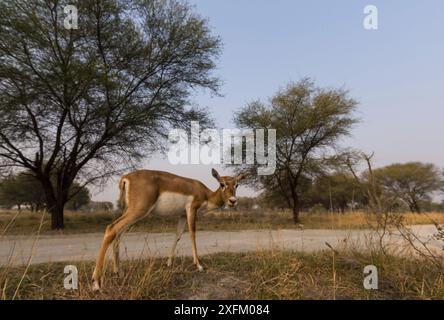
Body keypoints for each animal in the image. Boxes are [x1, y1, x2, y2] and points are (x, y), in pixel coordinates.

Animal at [92, 169, 248, 288]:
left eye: (237, 185)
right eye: (222, 184)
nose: (233, 201)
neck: (205, 194)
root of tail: (126, 178)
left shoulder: (182, 215)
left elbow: (177, 235)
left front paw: (169, 262)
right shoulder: (191, 210)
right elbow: (192, 234)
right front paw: (199, 265)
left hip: (130, 212)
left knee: (118, 233)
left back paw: (118, 272)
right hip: (138, 211)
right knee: (111, 229)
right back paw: (96, 282)